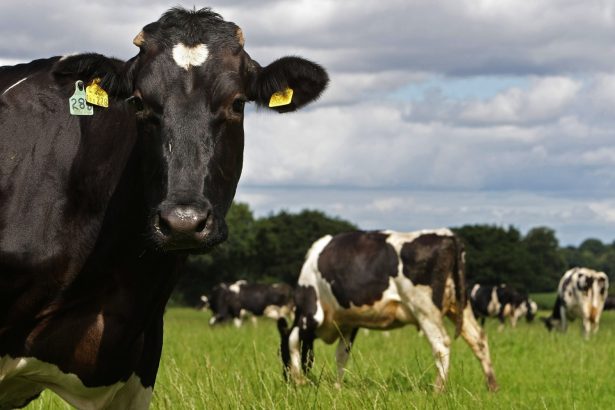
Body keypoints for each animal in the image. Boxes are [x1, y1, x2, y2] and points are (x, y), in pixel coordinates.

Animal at [276, 229, 498, 392]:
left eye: (281, 352)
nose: (284, 379)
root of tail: (448, 236)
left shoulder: (311, 313)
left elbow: (293, 339)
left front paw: (299, 380)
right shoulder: (349, 323)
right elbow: (342, 355)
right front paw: (337, 388)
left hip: (425, 308)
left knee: (441, 345)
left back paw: (438, 390)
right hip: (459, 304)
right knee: (479, 340)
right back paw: (492, 386)